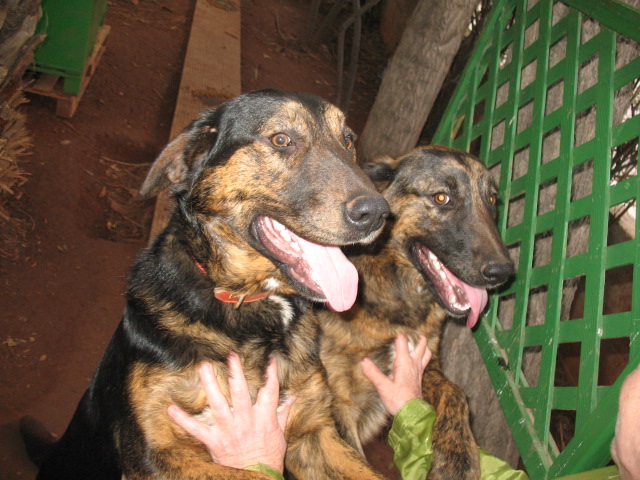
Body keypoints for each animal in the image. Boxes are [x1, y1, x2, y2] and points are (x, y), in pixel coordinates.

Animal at [28, 89, 391, 480]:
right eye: (281, 139)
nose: (378, 213)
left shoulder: (315, 433)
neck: (252, 306)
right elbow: (251, 473)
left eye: (348, 140)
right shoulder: (154, 454)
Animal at [318, 145, 514, 480]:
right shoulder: (335, 402)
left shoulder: (424, 361)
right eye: (441, 198)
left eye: (491, 199)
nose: (503, 271)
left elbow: (456, 392)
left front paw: (457, 458)